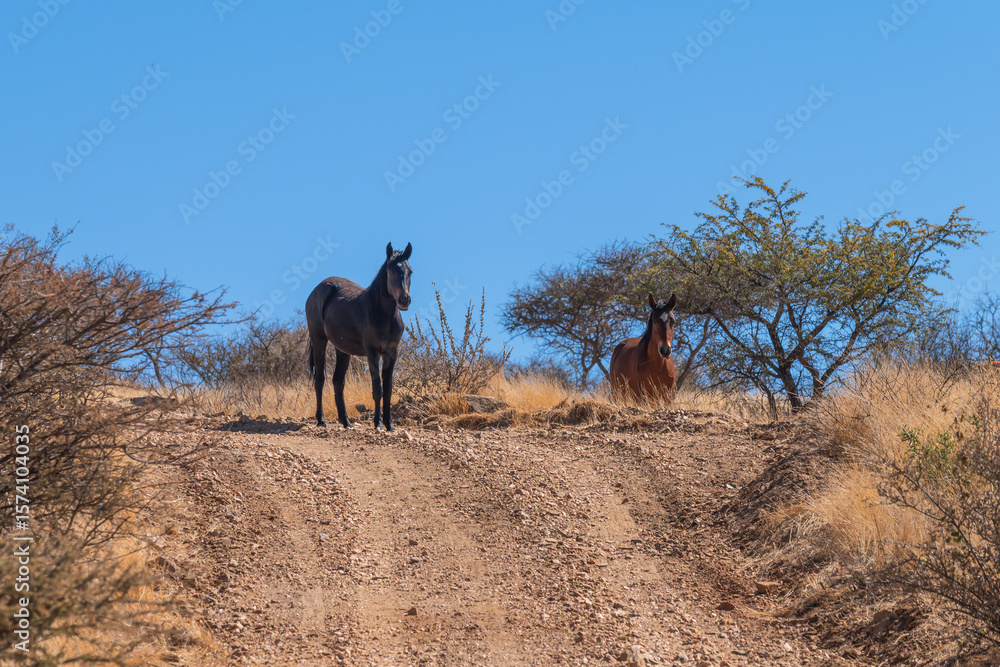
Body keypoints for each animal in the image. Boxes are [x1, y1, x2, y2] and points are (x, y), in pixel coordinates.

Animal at [305, 242, 412, 430]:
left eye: (410, 271)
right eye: (390, 272)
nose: (404, 300)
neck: (382, 315)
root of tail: (318, 289)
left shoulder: (392, 353)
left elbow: (388, 389)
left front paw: (389, 425)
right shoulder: (372, 352)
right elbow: (377, 388)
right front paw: (378, 424)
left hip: (342, 349)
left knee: (338, 381)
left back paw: (346, 422)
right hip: (319, 340)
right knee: (320, 379)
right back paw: (321, 421)